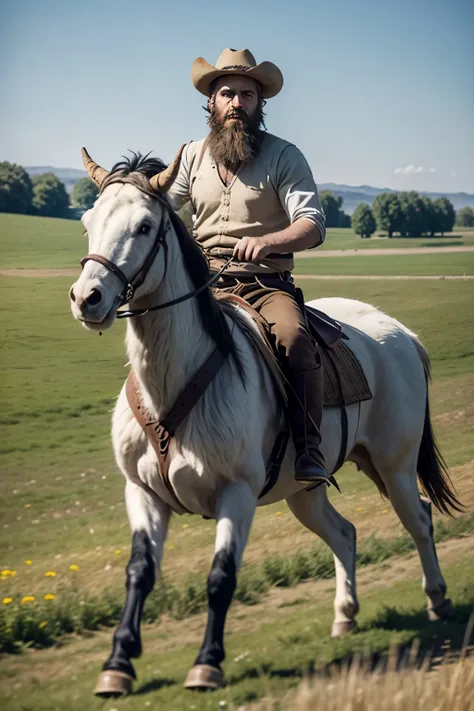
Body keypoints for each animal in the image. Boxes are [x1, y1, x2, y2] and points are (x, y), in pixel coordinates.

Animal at [68, 147, 462, 700]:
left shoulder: (236, 494)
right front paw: (118, 663)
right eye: (88, 222)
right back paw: (345, 614)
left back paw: (438, 598)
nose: (88, 298)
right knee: (344, 534)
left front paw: (207, 663)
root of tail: (402, 333)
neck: (177, 381)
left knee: (420, 521)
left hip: (396, 468)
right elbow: (139, 572)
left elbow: (221, 576)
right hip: (306, 491)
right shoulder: (142, 494)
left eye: (144, 226)